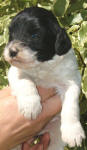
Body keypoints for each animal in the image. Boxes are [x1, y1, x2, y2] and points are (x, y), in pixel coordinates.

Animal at [3, 7, 85, 150]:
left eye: (35, 36)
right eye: (11, 34)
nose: (11, 52)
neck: (42, 65)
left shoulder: (71, 80)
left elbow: (71, 105)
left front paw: (73, 132)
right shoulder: (15, 71)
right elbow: (25, 81)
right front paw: (31, 106)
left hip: (55, 135)